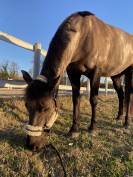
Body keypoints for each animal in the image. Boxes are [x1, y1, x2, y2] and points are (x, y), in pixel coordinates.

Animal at [22, 11, 133, 150]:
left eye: (46, 108)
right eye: (26, 105)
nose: (31, 145)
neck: (84, 35)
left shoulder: (96, 73)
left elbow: (93, 100)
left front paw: (92, 128)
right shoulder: (73, 73)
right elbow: (76, 100)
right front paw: (73, 130)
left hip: (129, 73)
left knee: (128, 96)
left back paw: (126, 123)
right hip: (116, 76)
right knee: (121, 95)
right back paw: (119, 117)